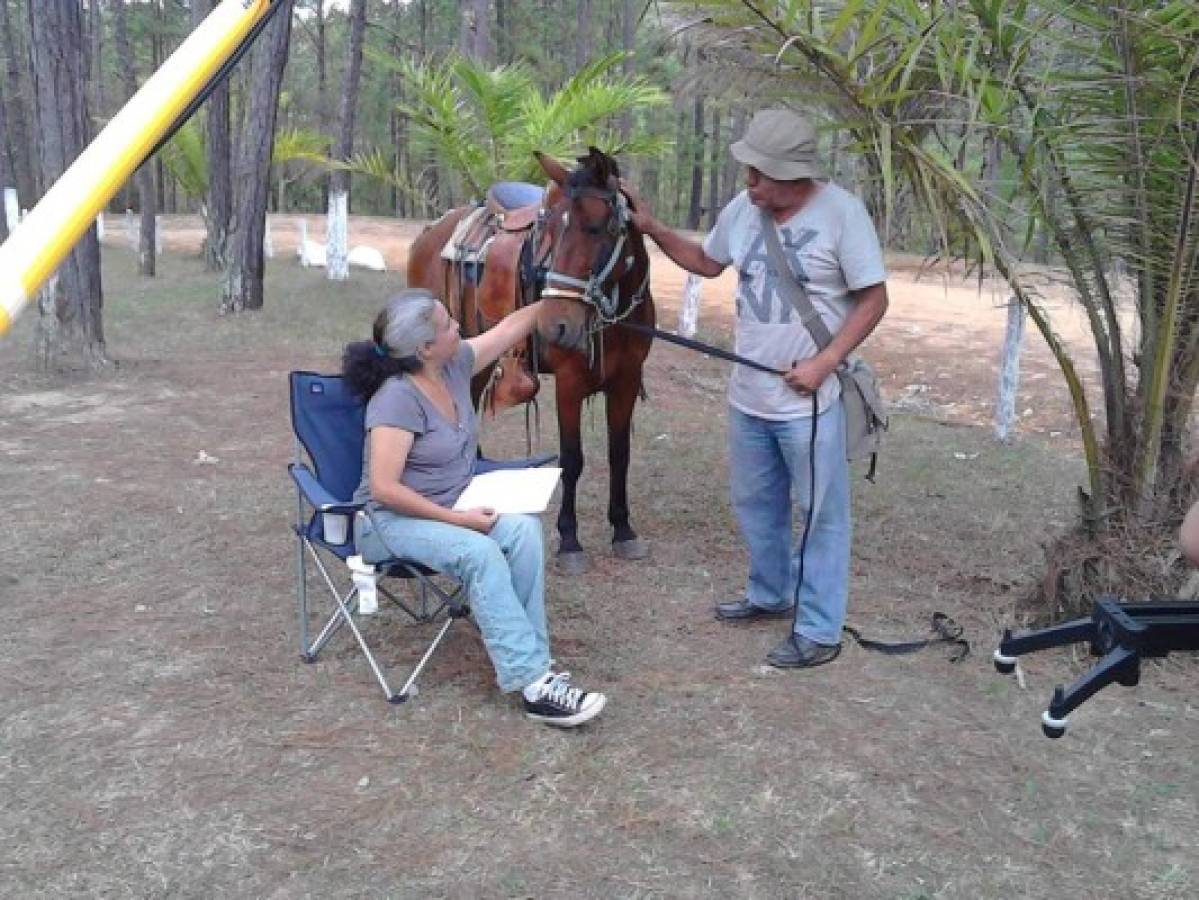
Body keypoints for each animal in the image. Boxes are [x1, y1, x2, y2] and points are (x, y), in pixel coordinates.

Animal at [410, 146, 657, 570]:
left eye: (598, 228)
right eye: (553, 232)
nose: (556, 324)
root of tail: (431, 231)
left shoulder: (626, 380)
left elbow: (619, 453)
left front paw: (623, 530)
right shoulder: (570, 384)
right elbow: (571, 460)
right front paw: (570, 540)